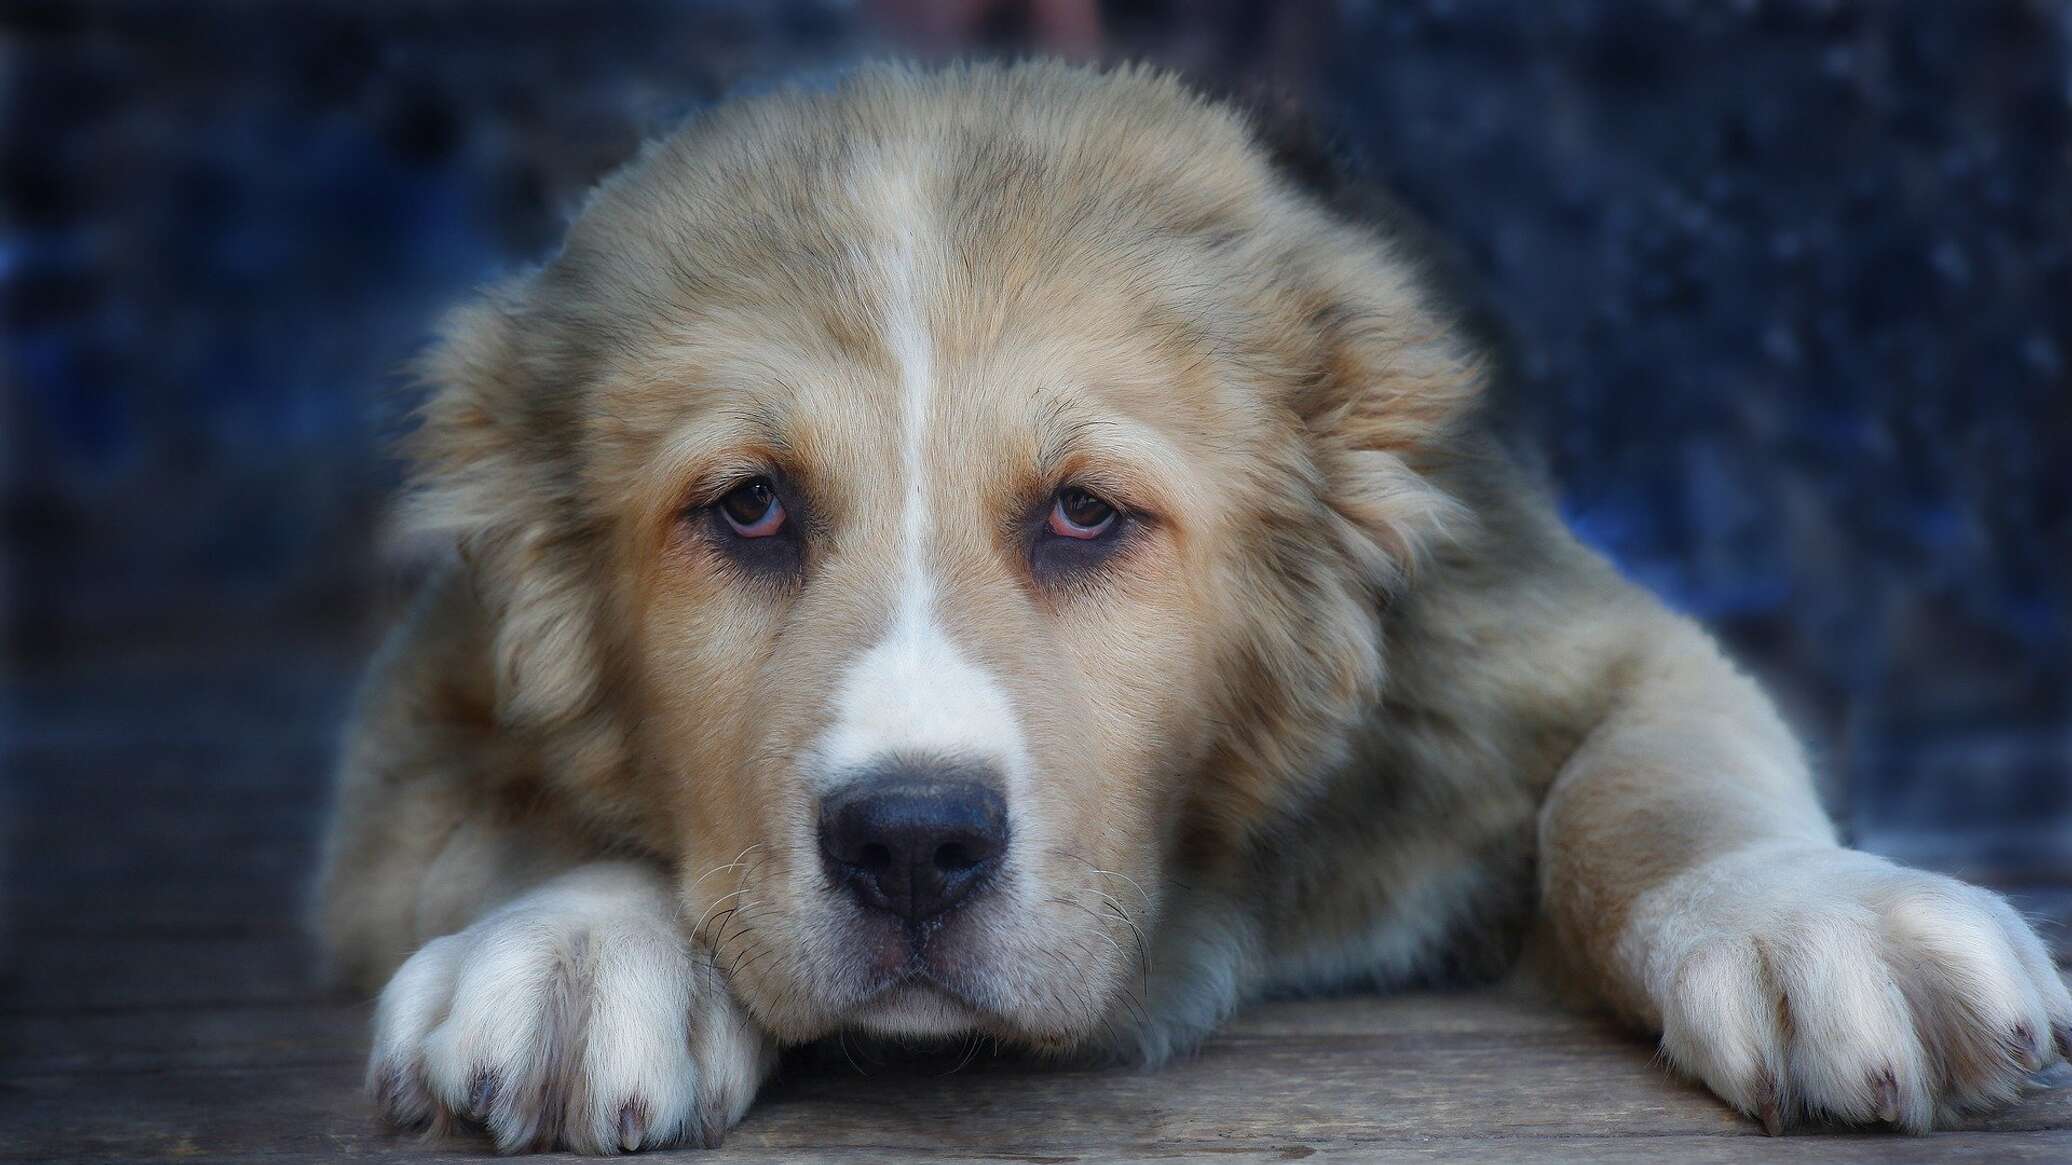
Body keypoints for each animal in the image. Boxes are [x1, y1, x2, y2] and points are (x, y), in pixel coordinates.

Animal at [310, 61, 2072, 1144]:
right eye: (747, 507)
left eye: (1085, 512)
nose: (911, 847)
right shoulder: (400, 755)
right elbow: (532, 825)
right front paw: (584, 950)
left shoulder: (1571, 638)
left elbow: (1653, 788)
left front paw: (1804, 910)